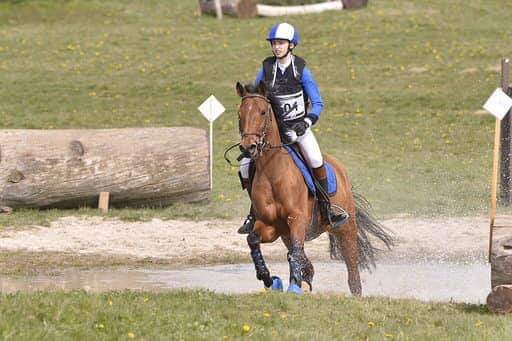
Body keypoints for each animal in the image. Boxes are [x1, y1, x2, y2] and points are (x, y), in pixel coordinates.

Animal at [234, 80, 394, 294]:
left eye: (262, 112)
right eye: (240, 113)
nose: (248, 147)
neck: (273, 172)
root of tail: (339, 168)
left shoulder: (298, 220)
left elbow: (296, 253)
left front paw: (294, 285)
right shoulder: (271, 226)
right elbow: (254, 240)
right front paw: (269, 278)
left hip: (346, 229)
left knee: (352, 273)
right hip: (287, 235)